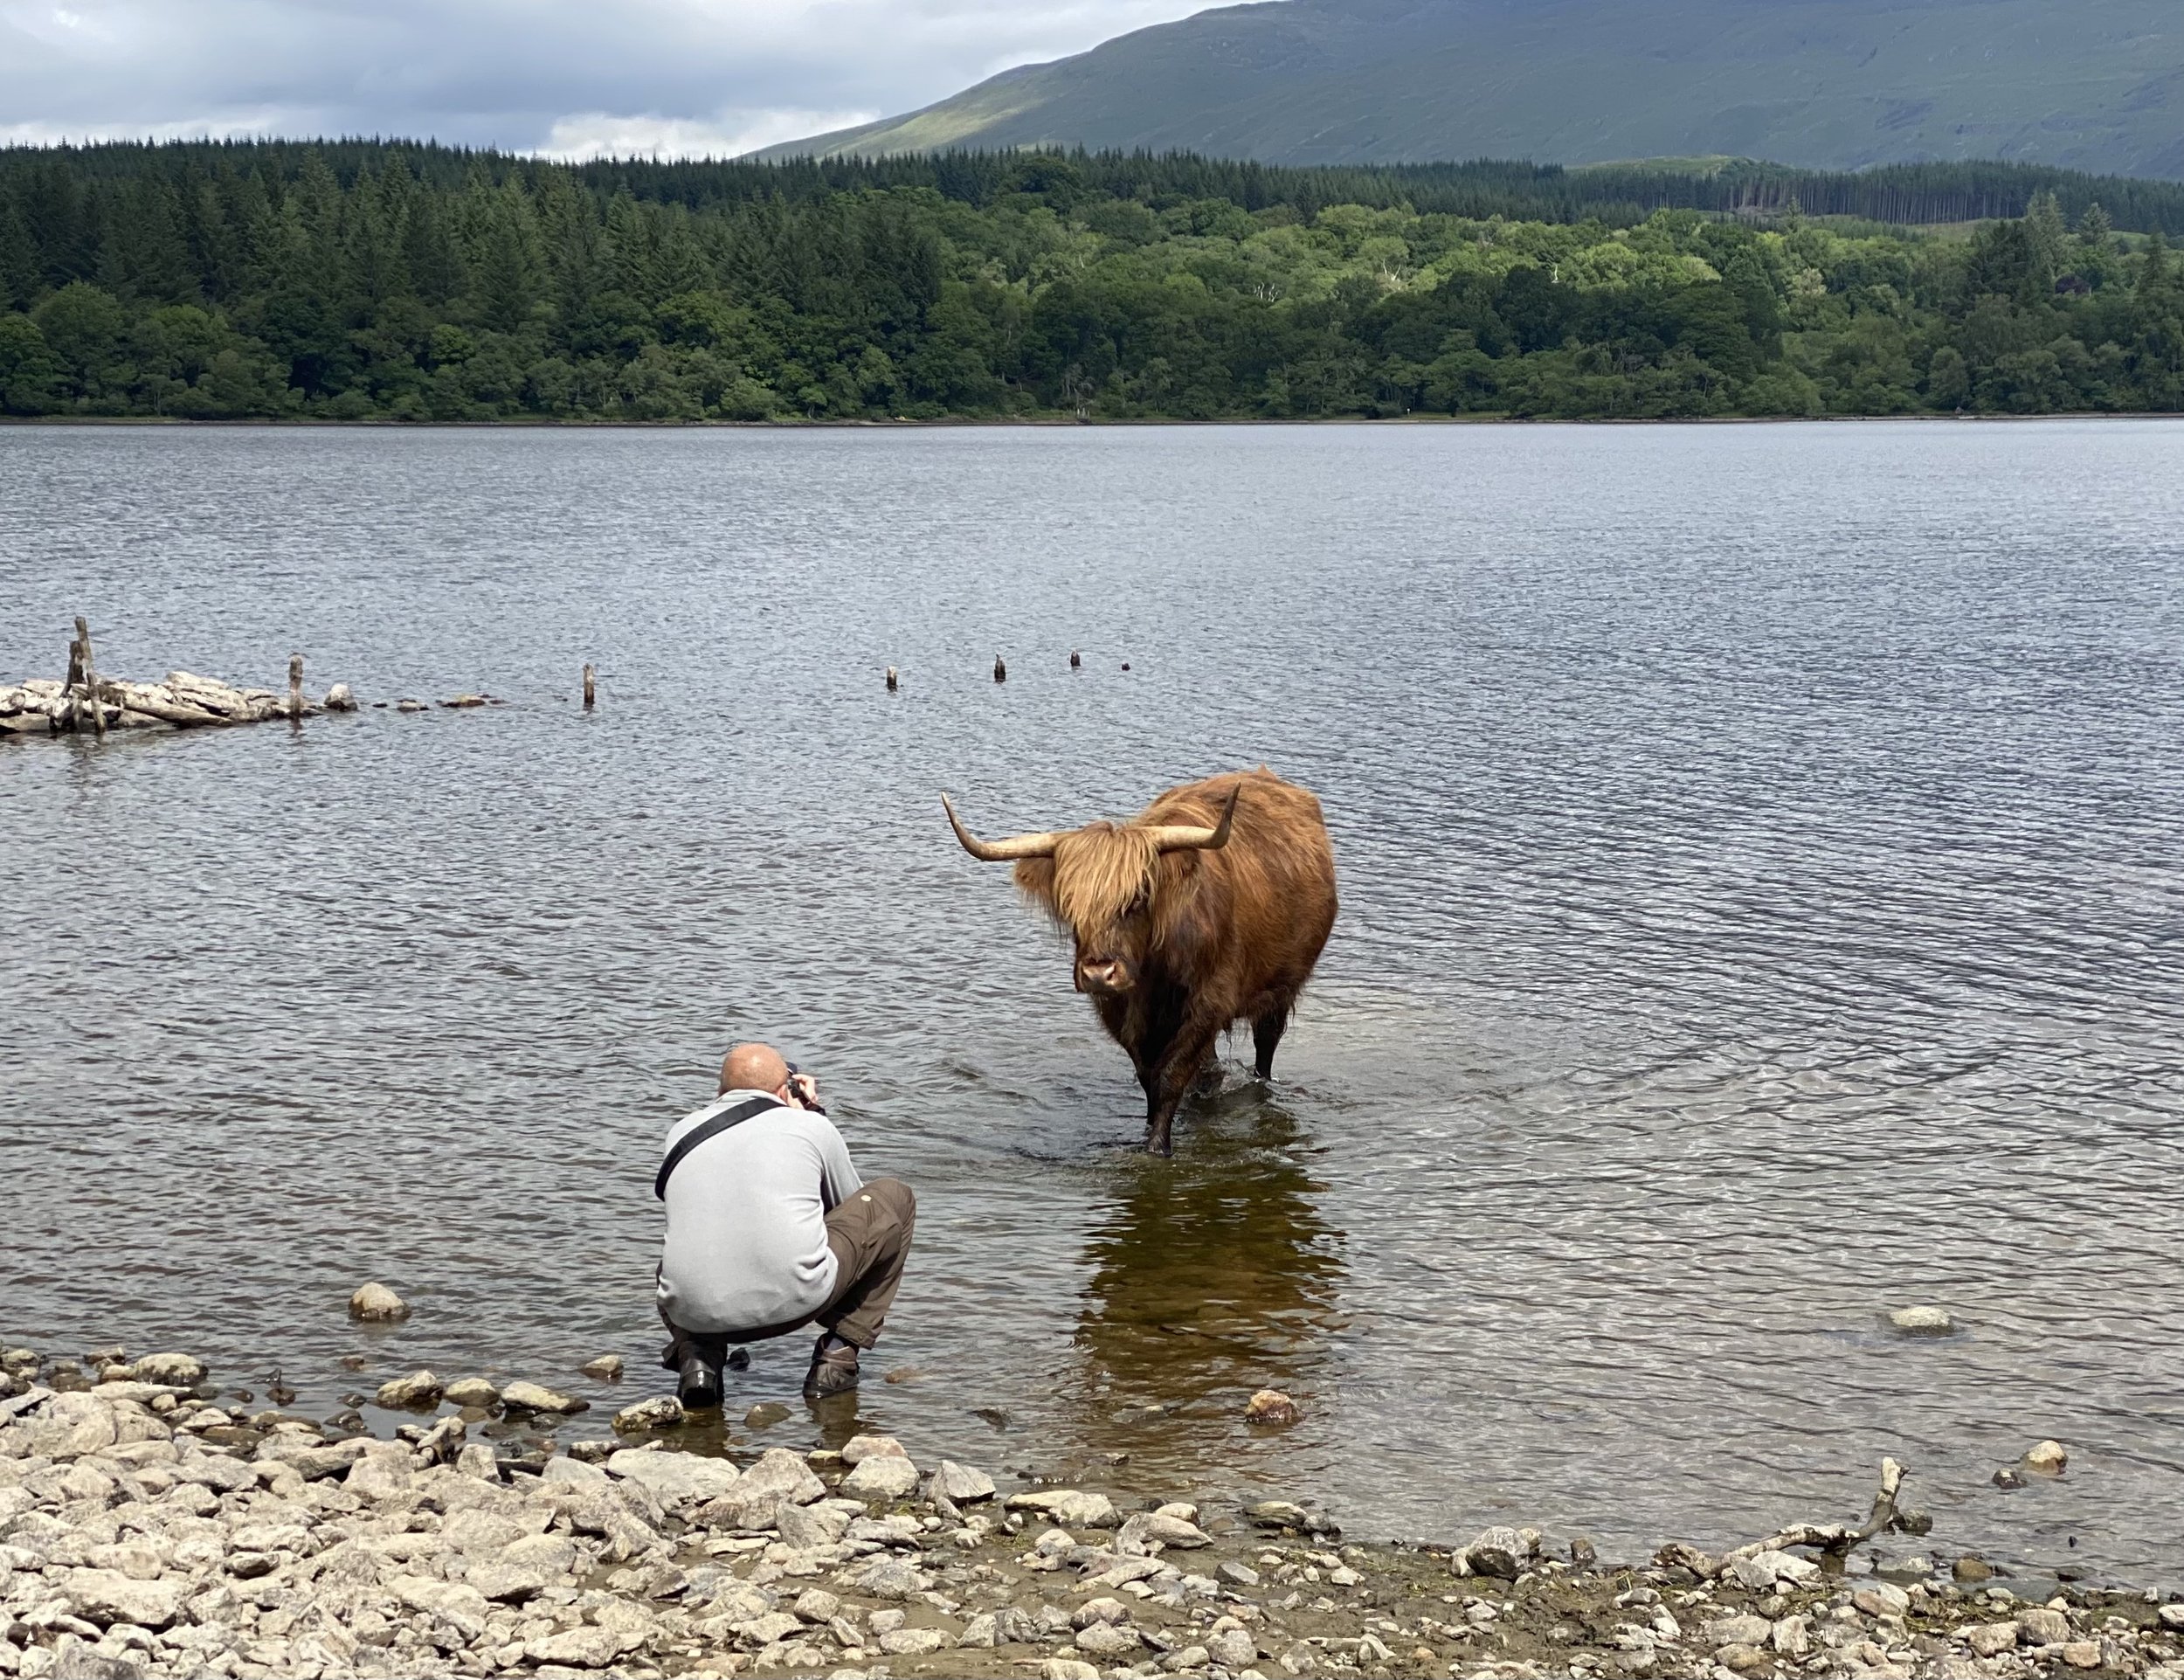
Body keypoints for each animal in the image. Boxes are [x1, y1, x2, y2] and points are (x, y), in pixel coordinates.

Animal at [942, 767, 1338, 1154]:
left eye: (1137, 899)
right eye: (1070, 907)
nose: (1098, 973)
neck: (1154, 973)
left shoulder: (1210, 1002)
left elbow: (1171, 1075)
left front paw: (1157, 1147)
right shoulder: (1118, 1010)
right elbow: (1148, 1076)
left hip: (1281, 988)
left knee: (1265, 1047)